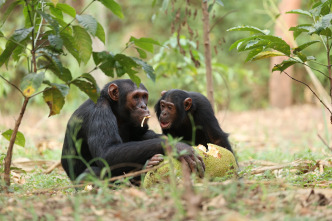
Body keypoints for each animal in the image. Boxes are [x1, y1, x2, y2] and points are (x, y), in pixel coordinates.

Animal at [61, 78, 204, 182]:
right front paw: (177, 146)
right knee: (90, 173)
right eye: (136, 97)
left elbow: (143, 134)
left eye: (144, 96)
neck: (115, 108)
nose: (144, 106)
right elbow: (107, 153)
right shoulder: (99, 112)